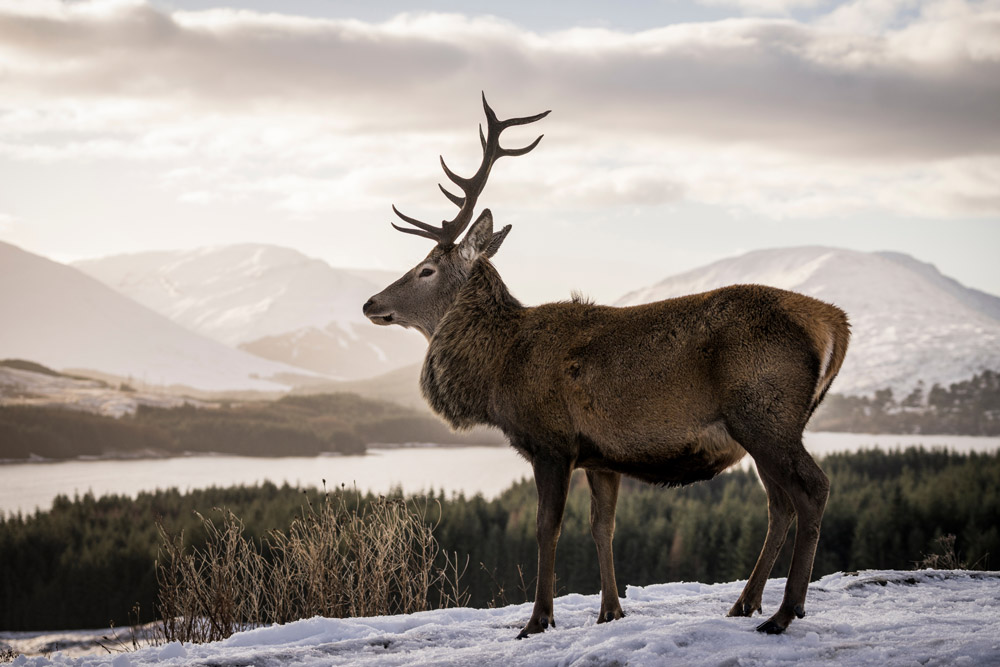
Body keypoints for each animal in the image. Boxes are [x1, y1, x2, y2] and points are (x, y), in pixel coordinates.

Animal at [364, 96, 848, 640]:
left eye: (425, 269)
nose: (370, 303)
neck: (498, 372)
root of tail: (835, 323)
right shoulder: (600, 457)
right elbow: (603, 526)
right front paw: (610, 610)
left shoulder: (551, 442)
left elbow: (546, 528)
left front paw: (538, 620)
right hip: (767, 426)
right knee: (779, 503)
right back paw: (746, 602)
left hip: (765, 413)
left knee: (812, 489)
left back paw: (785, 611)